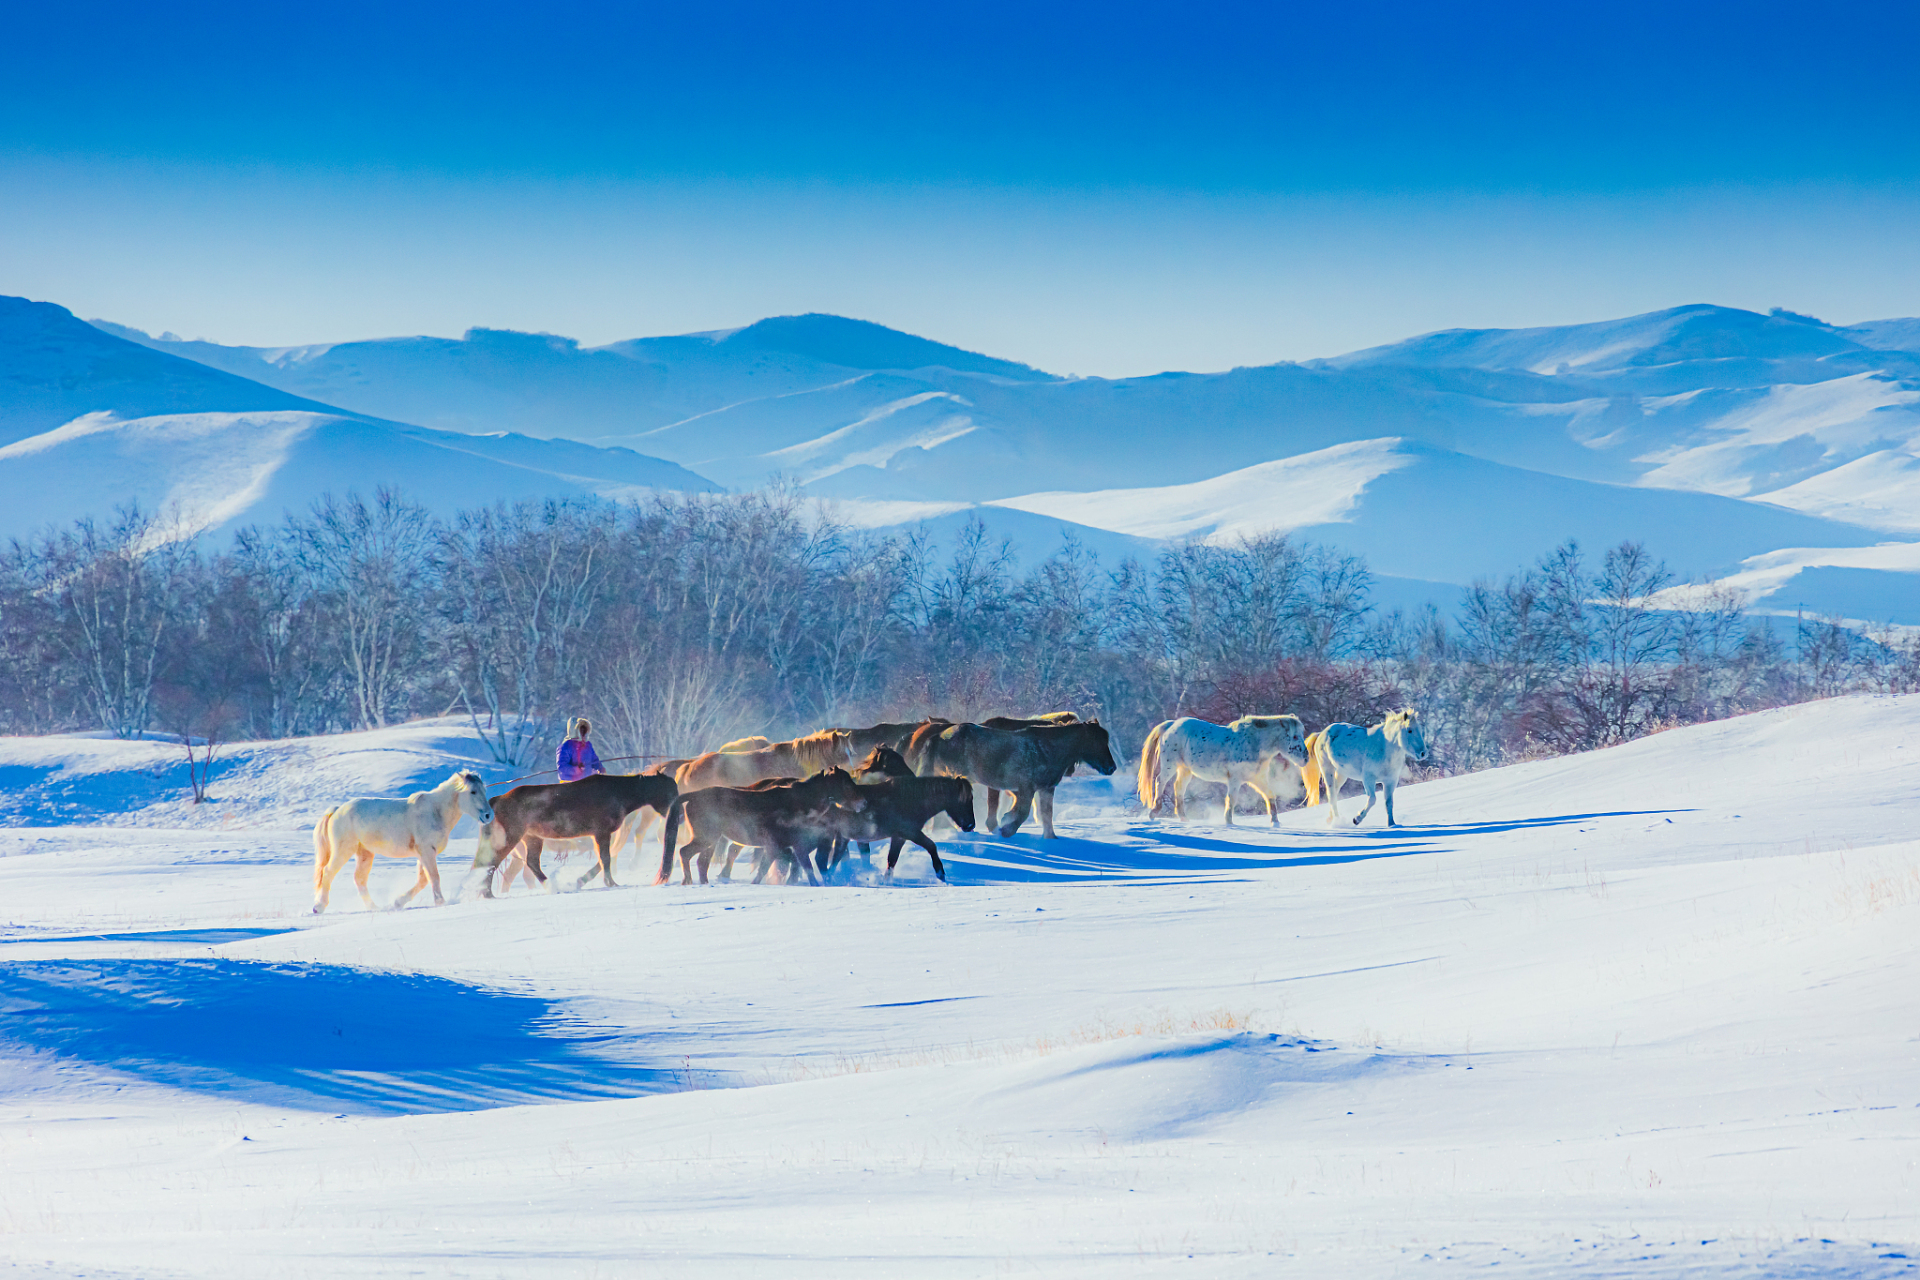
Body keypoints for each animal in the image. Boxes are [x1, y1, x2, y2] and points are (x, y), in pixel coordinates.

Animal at [312, 771, 495, 909]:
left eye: (484, 790)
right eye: (472, 791)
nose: (488, 815)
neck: (436, 811)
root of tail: (337, 810)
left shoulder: (424, 854)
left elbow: (423, 880)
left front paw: (398, 902)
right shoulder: (426, 851)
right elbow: (433, 877)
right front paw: (441, 903)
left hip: (365, 853)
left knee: (359, 879)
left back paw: (374, 908)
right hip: (344, 850)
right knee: (327, 872)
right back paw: (319, 907)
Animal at [474, 767, 679, 898]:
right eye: (669, 792)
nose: (676, 810)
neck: (619, 793)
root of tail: (496, 800)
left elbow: (603, 859)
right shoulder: (601, 832)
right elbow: (606, 859)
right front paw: (611, 883)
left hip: (532, 838)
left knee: (531, 863)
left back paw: (551, 886)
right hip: (510, 837)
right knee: (491, 863)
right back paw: (487, 893)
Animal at [906, 721, 1121, 840]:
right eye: (1096, 741)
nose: (1111, 767)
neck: (1046, 749)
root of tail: (937, 737)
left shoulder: (1045, 789)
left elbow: (1046, 814)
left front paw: (1051, 839)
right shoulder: (1026, 789)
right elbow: (1022, 813)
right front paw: (1006, 828)